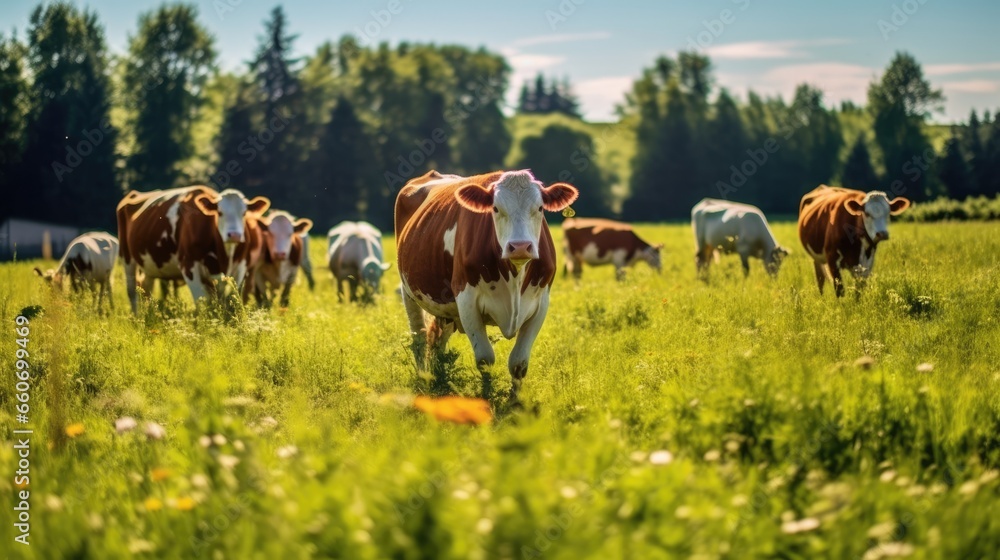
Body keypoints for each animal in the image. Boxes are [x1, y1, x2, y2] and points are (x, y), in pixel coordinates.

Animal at [116, 186, 270, 313]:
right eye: (219, 212)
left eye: (244, 213)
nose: (235, 235)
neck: (224, 257)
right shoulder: (188, 265)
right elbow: (202, 302)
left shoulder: (240, 268)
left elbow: (231, 300)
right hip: (127, 257)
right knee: (132, 292)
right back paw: (138, 318)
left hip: (149, 264)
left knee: (145, 290)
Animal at [395, 169, 578, 401]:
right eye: (495, 208)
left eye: (540, 208)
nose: (520, 247)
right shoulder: (466, 300)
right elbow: (485, 359)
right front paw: (487, 397)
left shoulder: (541, 303)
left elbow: (519, 363)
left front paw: (515, 402)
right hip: (408, 291)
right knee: (418, 337)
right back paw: (423, 379)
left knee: (437, 340)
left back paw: (439, 378)